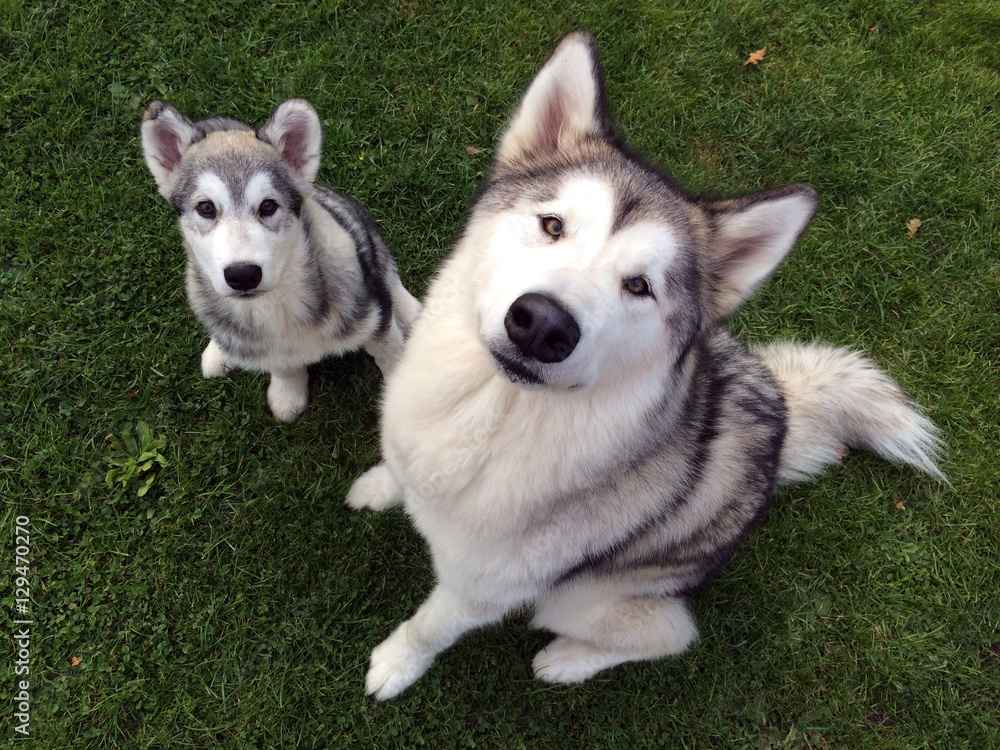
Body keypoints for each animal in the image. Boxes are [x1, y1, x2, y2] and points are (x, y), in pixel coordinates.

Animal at [142, 100, 422, 424]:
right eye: (206, 208)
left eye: (268, 205)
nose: (243, 275)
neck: (277, 302)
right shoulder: (270, 347)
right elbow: (283, 365)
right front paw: (287, 393)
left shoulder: (376, 316)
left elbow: (391, 354)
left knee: (389, 273)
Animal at [348, 29, 940, 700]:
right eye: (552, 225)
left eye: (639, 286)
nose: (544, 324)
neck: (492, 417)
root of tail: (781, 418)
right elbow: (399, 470)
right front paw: (381, 486)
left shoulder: (480, 593)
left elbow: (430, 627)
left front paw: (397, 665)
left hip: (579, 599)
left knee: (672, 634)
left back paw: (567, 660)